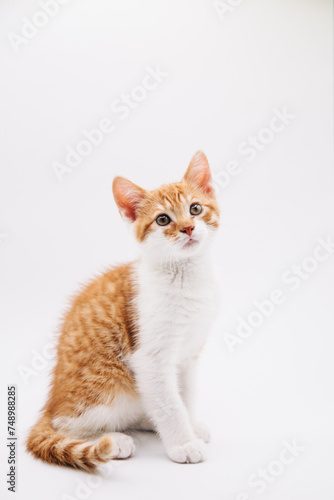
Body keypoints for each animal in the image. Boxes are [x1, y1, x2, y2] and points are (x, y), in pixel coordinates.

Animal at [26, 150, 219, 470]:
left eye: (195, 208)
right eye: (163, 219)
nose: (188, 228)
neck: (185, 277)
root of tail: (51, 403)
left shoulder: (189, 353)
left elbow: (185, 394)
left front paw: (191, 425)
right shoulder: (149, 358)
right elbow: (169, 404)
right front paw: (183, 442)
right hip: (107, 386)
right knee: (65, 425)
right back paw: (114, 440)